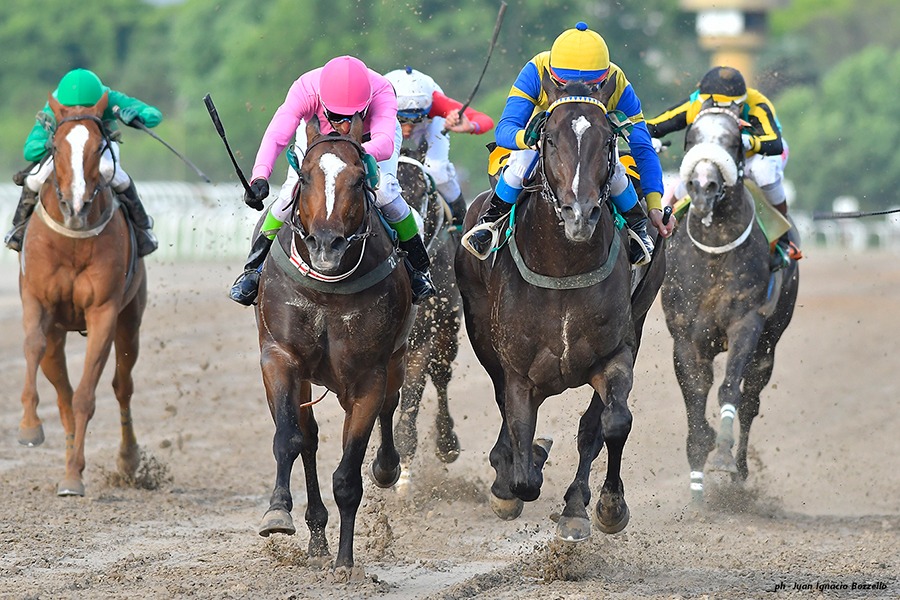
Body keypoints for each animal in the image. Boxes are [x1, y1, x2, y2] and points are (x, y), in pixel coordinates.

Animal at [16, 91, 147, 497]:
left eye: (99, 147)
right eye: (55, 147)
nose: (75, 206)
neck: (72, 239)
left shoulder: (104, 311)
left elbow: (88, 395)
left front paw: (74, 474)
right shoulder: (36, 300)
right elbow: (32, 346)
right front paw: (29, 428)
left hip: (130, 320)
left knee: (122, 387)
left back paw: (127, 459)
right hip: (58, 332)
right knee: (61, 391)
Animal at [253, 115, 415, 570]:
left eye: (360, 179)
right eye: (305, 177)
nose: (326, 244)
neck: (327, 291)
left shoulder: (366, 376)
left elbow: (347, 475)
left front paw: (345, 563)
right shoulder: (279, 357)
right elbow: (289, 438)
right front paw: (278, 513)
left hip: (395, 360)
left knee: (391, 405)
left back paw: (387, 468)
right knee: (307, 436)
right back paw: (315, 533)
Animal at [455, 76, 667, 543]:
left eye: (608, 140)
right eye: (550, 139)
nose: (579, 213)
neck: (564, 264)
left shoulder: (616, 352)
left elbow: (612, 423)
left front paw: (606, 506)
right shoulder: (516, 367)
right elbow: (521, 454)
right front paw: (513, 477)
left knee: (593, 426)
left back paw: (575, 502)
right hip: (480, 332)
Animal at [660, 99, 800, 502]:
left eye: (733, 140)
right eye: (691, 137)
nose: (703, 185)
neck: (714, 254)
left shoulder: (746, 323)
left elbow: (728, 388)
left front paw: (721, 455)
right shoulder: (685, 336)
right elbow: (695, 391)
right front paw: (697, 470)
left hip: (770, 341)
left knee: (750, 398)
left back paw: (739, 471)